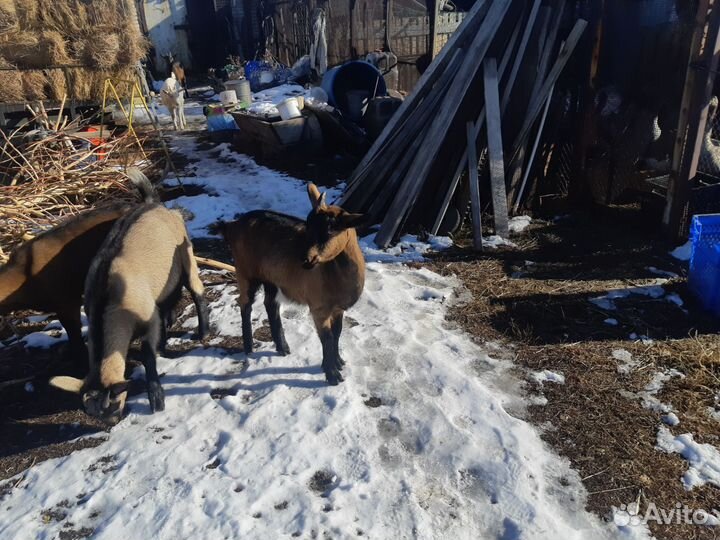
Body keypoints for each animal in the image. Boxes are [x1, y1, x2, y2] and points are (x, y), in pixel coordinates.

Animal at [211, 182, 362, 384]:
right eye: (308, 225)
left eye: (331, 229)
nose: (305, 259)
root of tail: (232, 225)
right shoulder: (319, 308)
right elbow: (327, 338)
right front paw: (332, 374)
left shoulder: (338, 309)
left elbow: (337, 333)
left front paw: (338, 362)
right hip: (245, 271)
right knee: (245, 303)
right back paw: (249, 347)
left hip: (270, 277)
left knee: (270, 304)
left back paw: (282, 347)